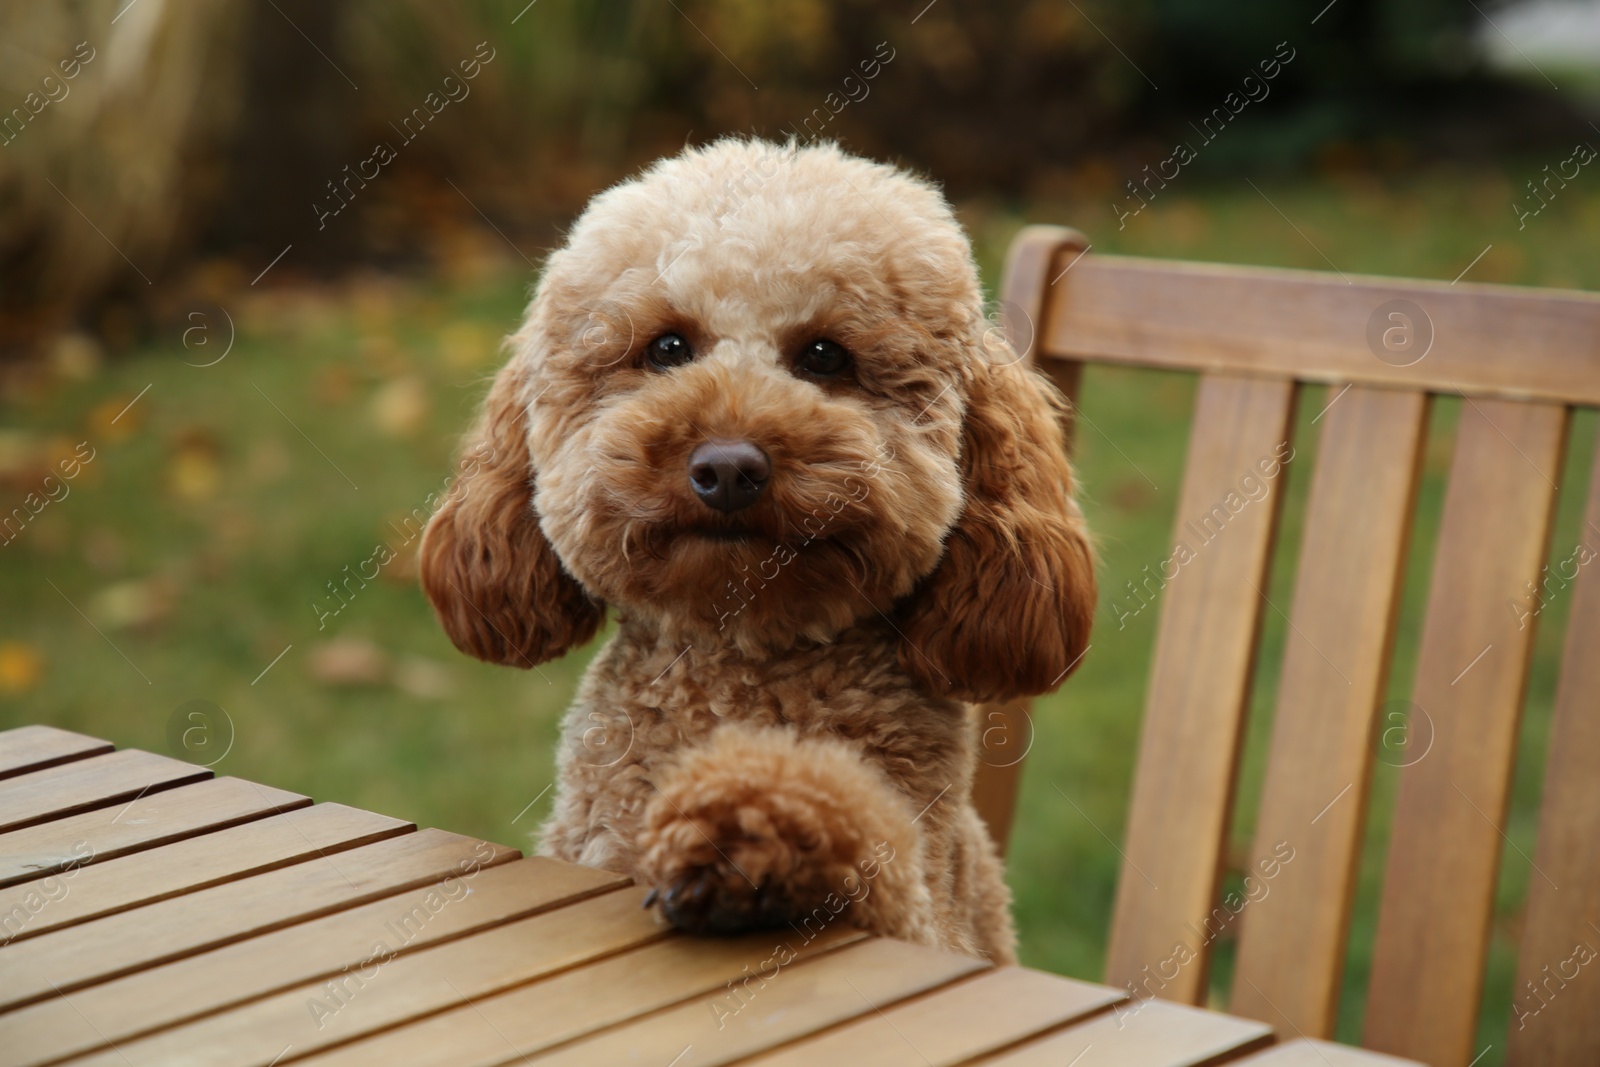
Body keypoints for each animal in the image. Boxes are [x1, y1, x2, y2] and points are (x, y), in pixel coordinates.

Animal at [422, 137, 1100, 966]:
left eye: (825, 356)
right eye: (667, 347)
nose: (727, 467)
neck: (739, 661)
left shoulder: (929, 915)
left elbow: (870, 849)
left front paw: (759, 816)